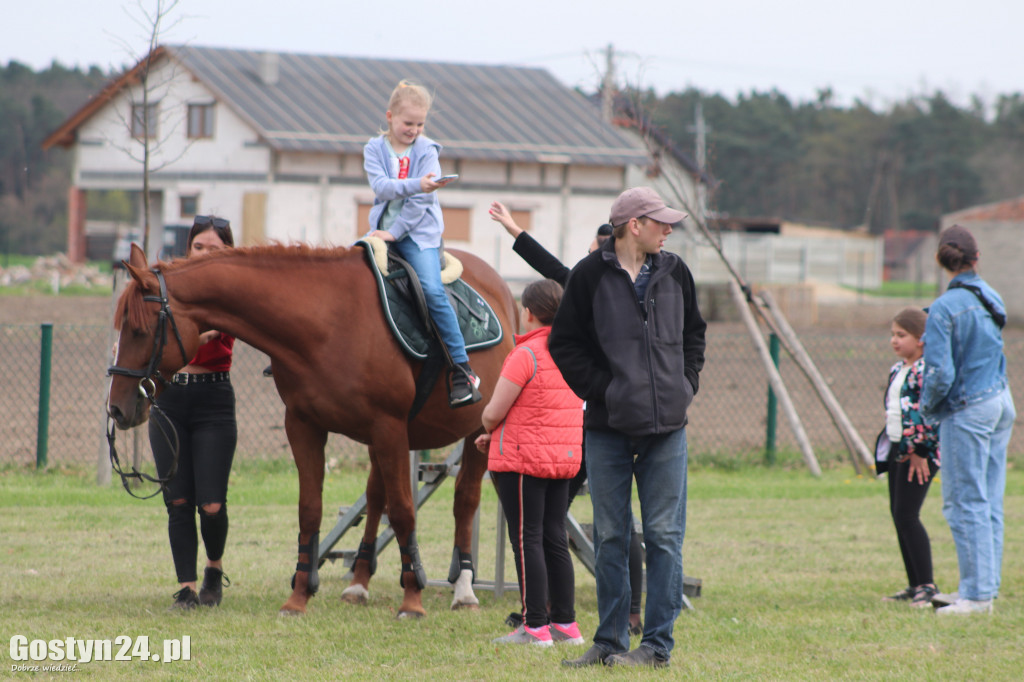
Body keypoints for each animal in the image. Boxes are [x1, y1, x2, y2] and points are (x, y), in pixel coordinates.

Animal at [108, 241, 516, 614]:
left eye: (139, 330)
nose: (116, 408)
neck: (327, 321)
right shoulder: (305, 427)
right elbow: (310, 510)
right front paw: (299, 597)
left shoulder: (389, 427)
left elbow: (403, 510)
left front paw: (412, 600)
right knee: (376, 496)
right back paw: (359, 583)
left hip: (472, 431)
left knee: (464, 500)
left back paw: (464, 588)